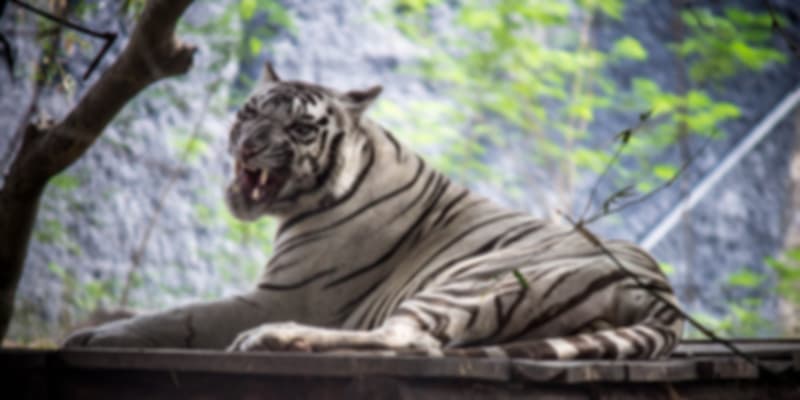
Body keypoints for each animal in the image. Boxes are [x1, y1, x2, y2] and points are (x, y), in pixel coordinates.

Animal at [64, 62, 683, 360]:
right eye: (250, 111)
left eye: (299, 127)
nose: (248, 147)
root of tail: (666, 298)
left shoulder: (284, 294)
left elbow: (180, 315)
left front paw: (92, 337)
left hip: (475, 280)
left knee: (412, 340)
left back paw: (274, 339)